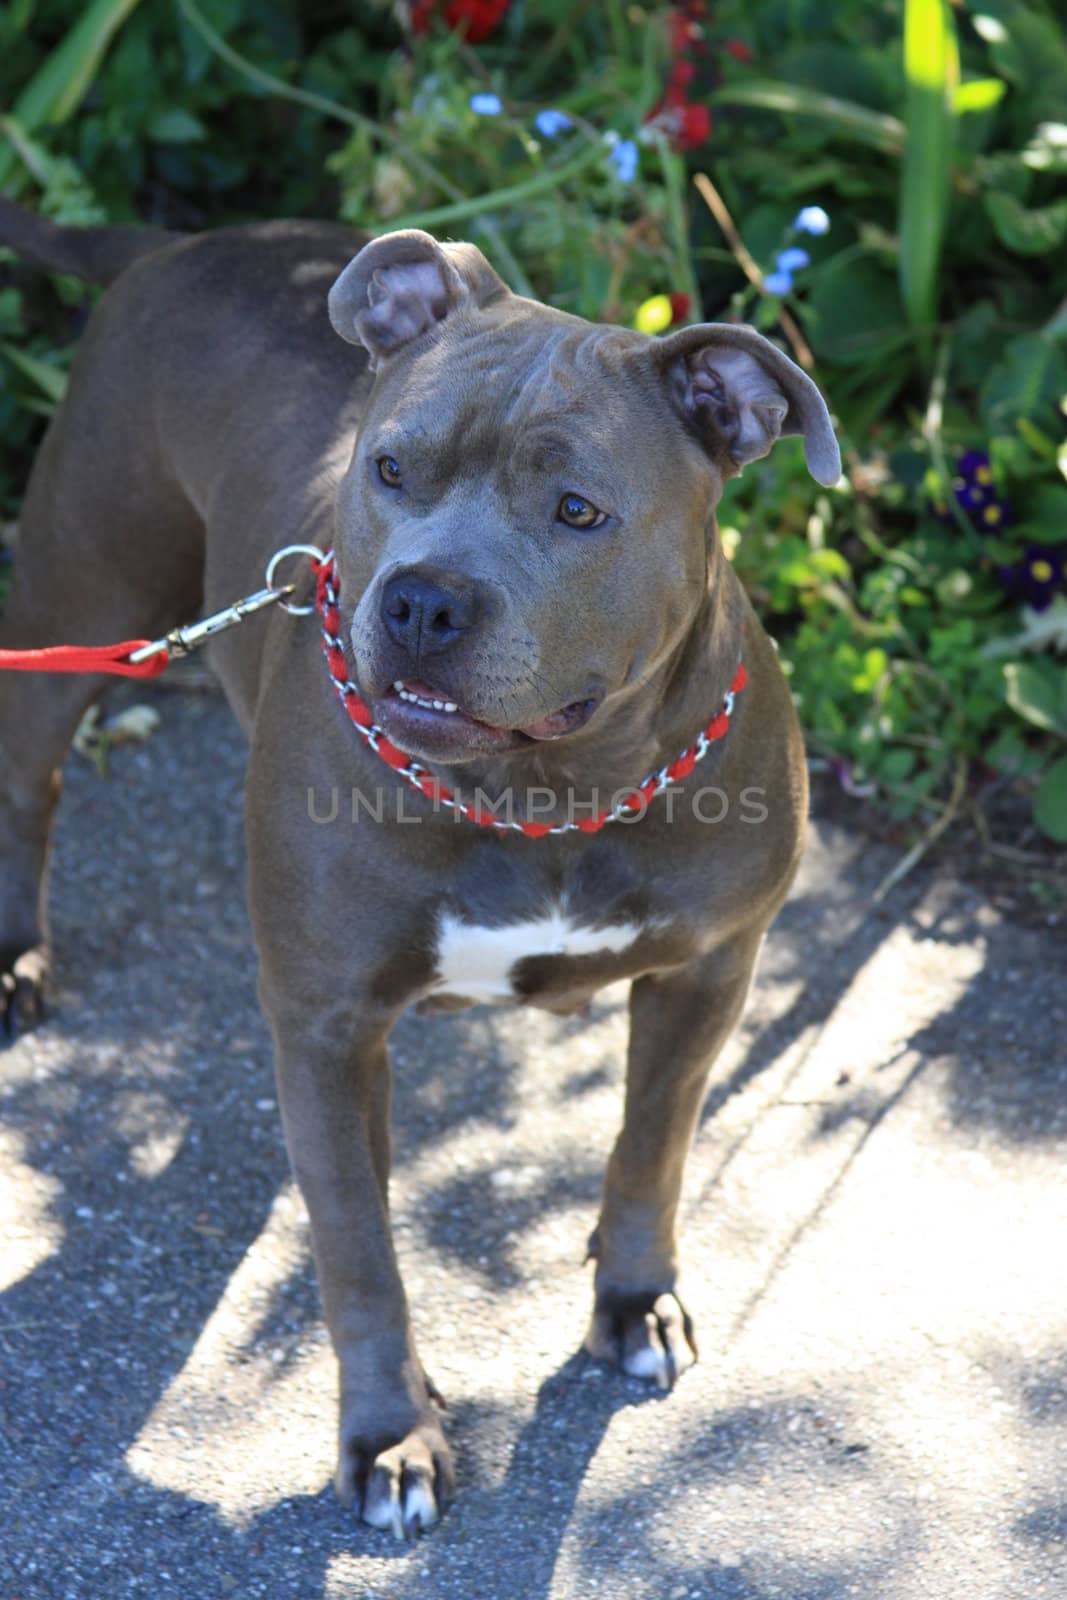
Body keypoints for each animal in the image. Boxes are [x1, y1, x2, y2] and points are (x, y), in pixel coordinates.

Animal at [0, 200, 844, 1536]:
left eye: (576, 510)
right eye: (389, 469)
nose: (422, 601)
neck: (546, 793)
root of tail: (182, 243)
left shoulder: (708, 969)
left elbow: (649, 1148)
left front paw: (631, 1300)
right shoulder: (329, 1022)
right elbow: (357, 1250)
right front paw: (388, 1432)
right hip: (85, 593)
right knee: (31, 774)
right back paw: (15, 954)